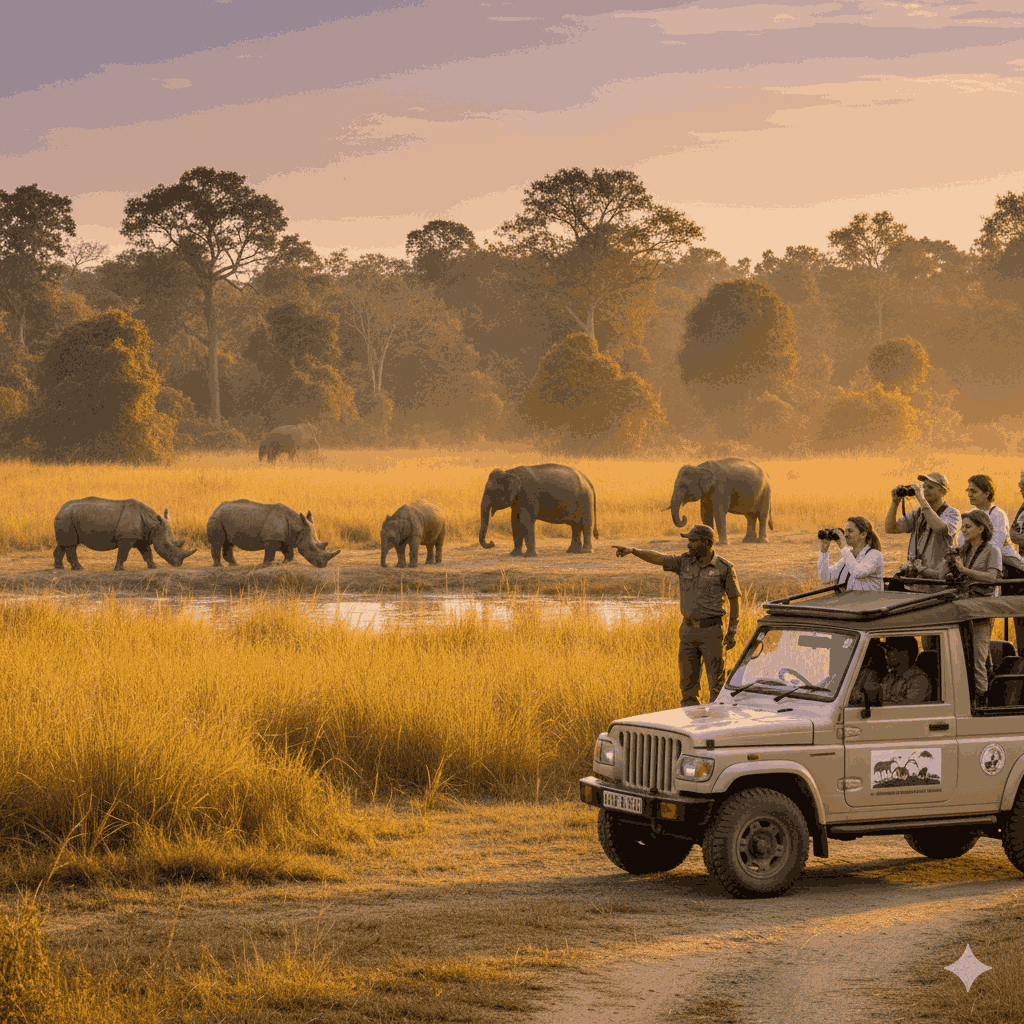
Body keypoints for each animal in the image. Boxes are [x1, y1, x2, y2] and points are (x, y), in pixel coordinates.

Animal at [53, 498, 197, 571]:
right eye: (167, 546)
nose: (179, 564)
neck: (153, 525)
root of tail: (59, 510)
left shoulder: (143, 538)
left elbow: (147, 553)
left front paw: (153, 567)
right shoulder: (126, 538)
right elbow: (123, 554)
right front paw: (119, 569)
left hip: (67, 518)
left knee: (64, 543)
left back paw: (59, 567)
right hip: (67, 518)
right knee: (71, 545)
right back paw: (79, 569)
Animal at [206, 499, 340, 568]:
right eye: (311, 548)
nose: (323, 565)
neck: (297, 526)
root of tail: (216, 508)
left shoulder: (286, 538)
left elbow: (289, 553)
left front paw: (283, 563)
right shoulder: (271, 539)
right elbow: (270, 553)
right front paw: (264, 564)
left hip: (225, 517)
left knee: (228, 543)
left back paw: (235, 565)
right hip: (217, 518)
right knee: (218, 543)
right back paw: (219, 566)